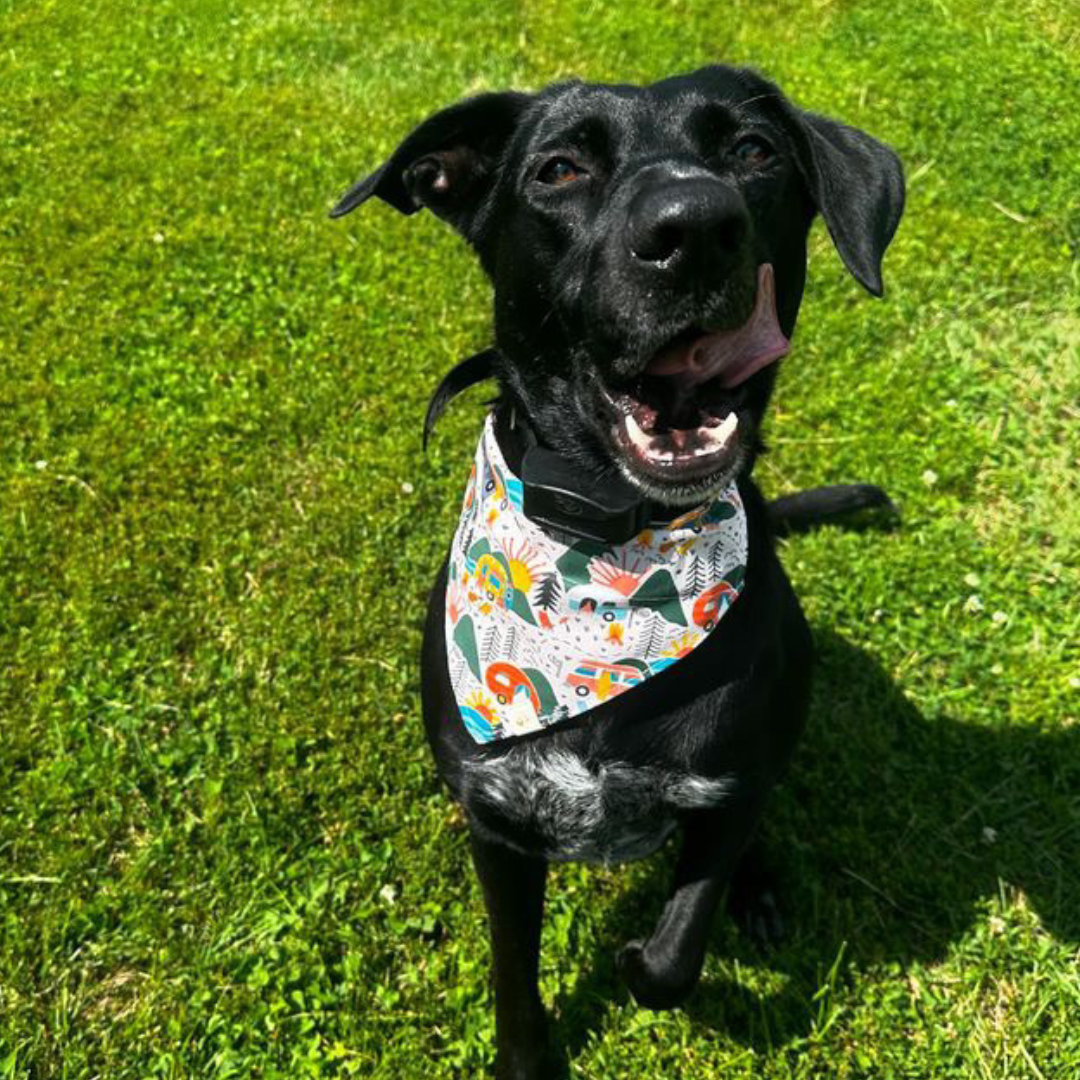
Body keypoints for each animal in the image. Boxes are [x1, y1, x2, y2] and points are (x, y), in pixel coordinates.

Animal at [328, 63, 902, 1075]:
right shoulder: (499, 821)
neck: (608, 558)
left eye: (753, 150)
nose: (693, 226)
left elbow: (674, 951)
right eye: (558, 168)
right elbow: (514, 974)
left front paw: (647, 953)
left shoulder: (722, 794)